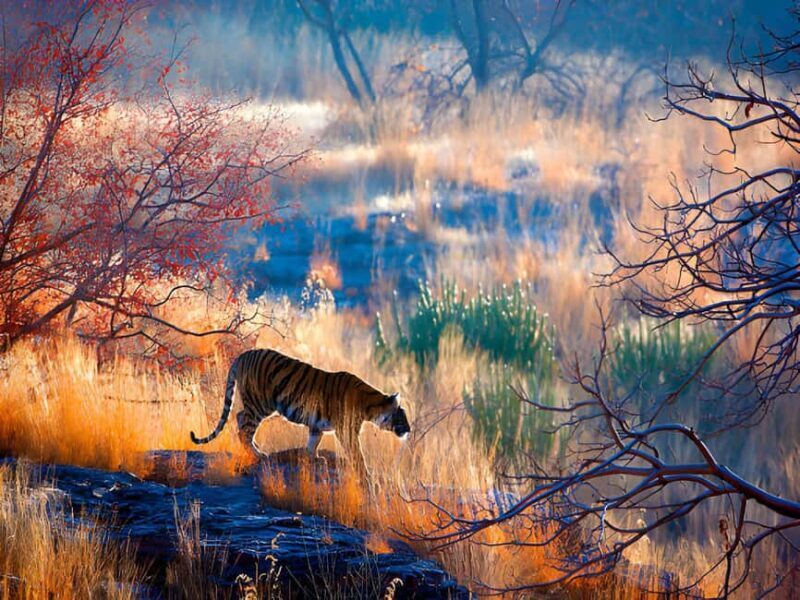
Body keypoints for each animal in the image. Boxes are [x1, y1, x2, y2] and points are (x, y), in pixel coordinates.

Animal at [190, 349, 410, 475]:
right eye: (402, 417)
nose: (409, 430)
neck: (370, 406)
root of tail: (243, 355)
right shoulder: (346, 431)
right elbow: (357, 454)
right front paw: (365, 474)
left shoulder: (316, 426)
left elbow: (312, 443)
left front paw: (314, 459)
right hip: (259, 404)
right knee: (244, 429)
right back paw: (260, 455)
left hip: (258, 405)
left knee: (239, 417)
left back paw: (256, 449)